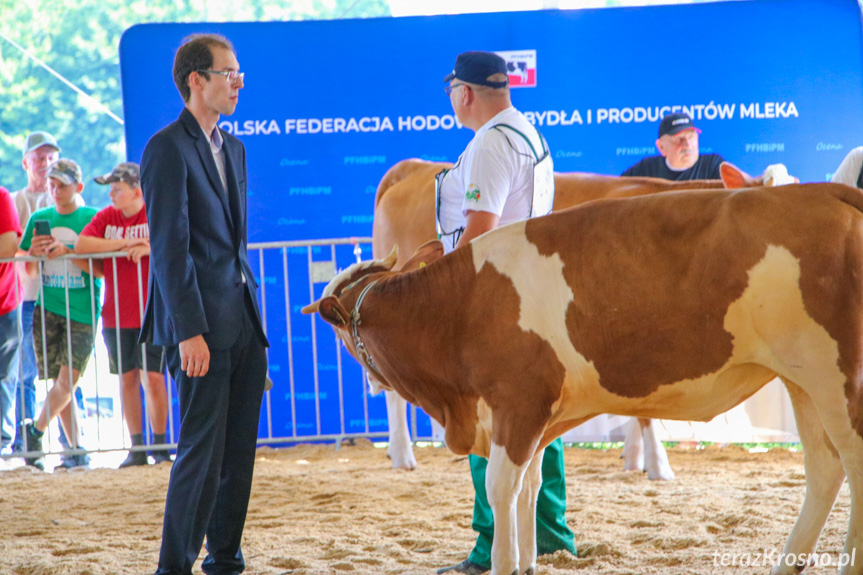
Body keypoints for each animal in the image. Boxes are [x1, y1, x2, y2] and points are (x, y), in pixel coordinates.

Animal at [372, 155, 796, 474]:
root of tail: (415, 167)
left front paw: (633, 457)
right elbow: (643, 409)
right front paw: (657, 464)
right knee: (388, 385)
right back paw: (403, 454)